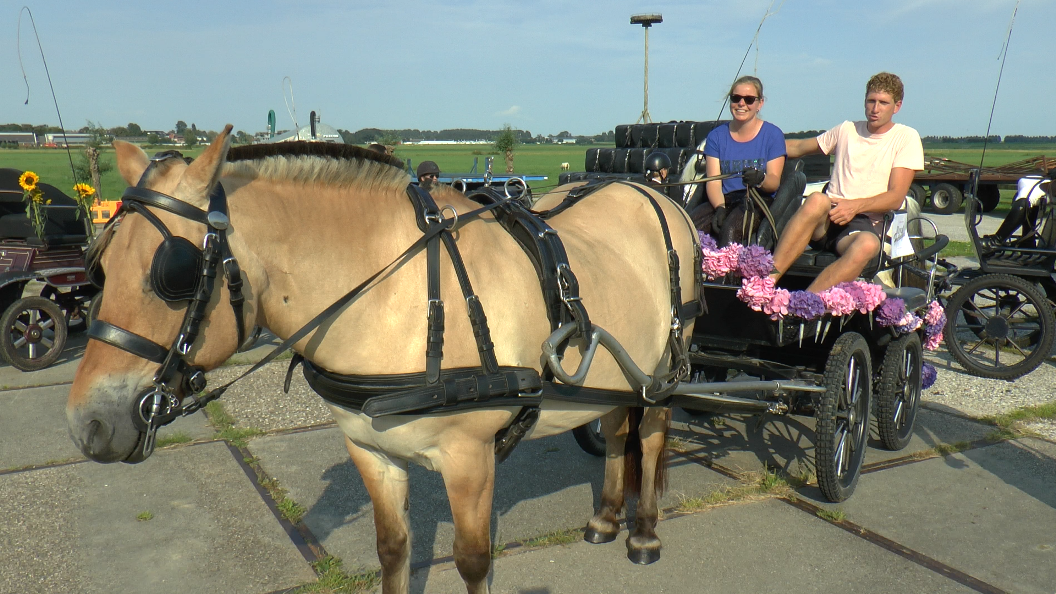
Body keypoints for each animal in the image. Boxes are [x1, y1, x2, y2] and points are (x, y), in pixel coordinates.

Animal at [68, 129, 701, 591]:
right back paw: (606, 517)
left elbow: (473, 561)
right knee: (616, 427)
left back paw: (643, 532)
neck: (399, 296)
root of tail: (650, 190)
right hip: (617, 370)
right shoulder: (370, 449)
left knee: (650, 432)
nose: (87, 425)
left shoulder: (470, 459)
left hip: (665, 368)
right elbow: (393, 550)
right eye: (99, 264)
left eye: (173, 274)